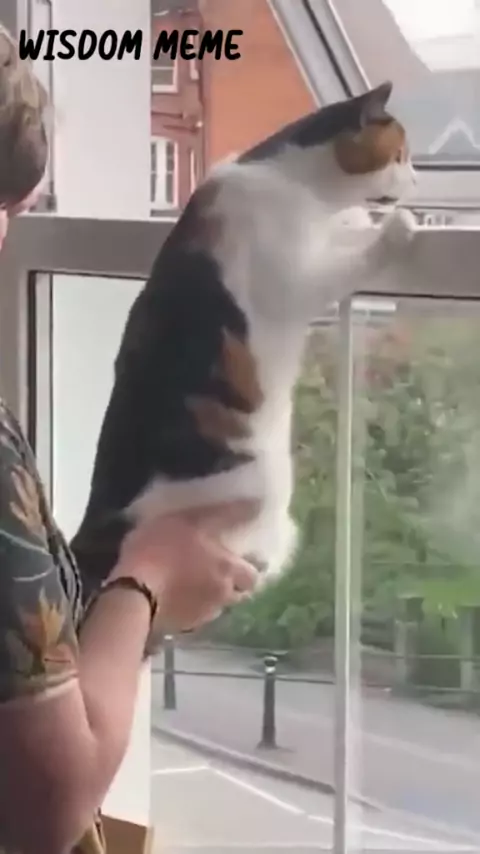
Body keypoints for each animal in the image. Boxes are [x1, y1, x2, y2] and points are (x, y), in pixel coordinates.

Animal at [70, 80, 417, 611]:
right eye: (400, 154)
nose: (418, 179)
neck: (296, 184)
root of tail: (98, 524)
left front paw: (357, 220)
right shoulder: (293, 282)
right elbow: (342, 265)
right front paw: (394, 227)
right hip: (259, 483)